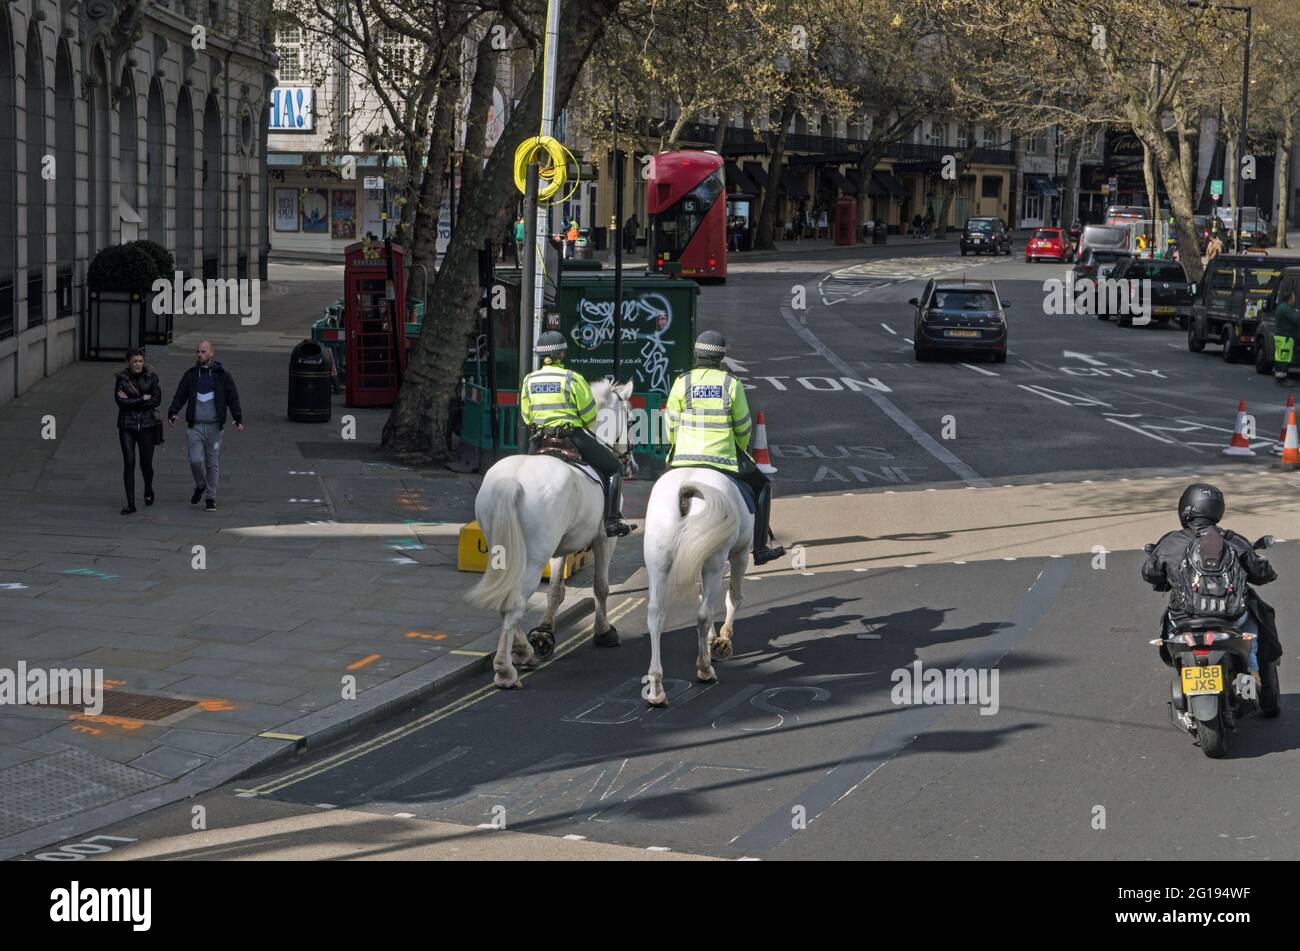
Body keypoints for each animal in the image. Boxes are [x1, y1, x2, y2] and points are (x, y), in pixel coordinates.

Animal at [467, 381, 634, 691]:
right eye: (630, 421)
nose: (630, 465)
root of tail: (511, 481)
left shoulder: (562, 546)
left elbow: (556, 591)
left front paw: (545, 633)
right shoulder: (605, 539)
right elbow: (601, 587)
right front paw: (603, 632)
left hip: (507, 552)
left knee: (505, 599)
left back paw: (523, 651)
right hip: (533, 558)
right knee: (514, 601)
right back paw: (506, 670)